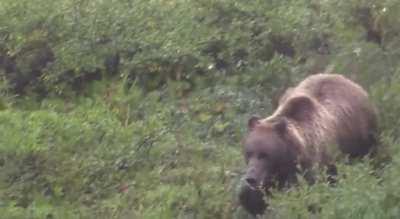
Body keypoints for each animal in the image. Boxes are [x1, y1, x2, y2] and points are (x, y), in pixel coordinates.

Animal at [238, 73, 378, 216]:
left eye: (264, 154)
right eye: (249, 153)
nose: (250, 178)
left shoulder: (310, 164)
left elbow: (309, 196)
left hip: (363, 136)